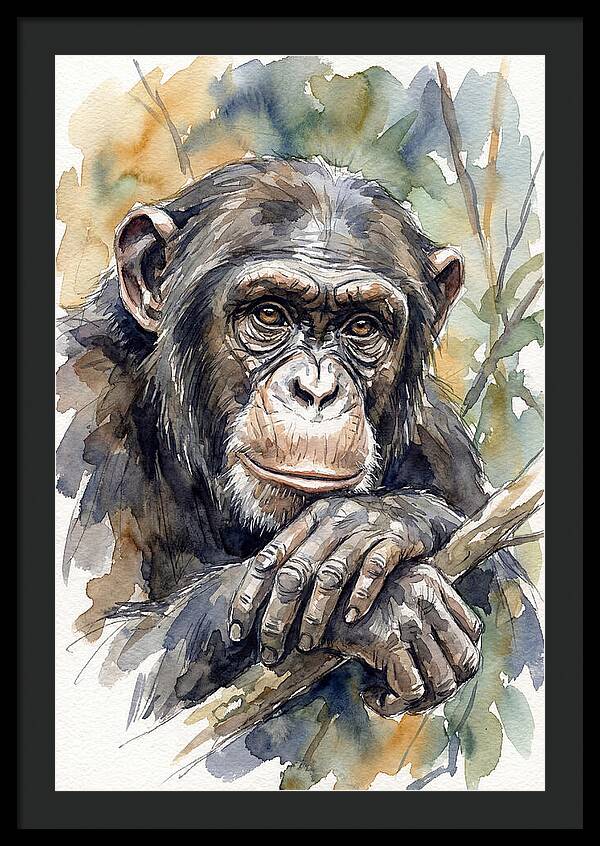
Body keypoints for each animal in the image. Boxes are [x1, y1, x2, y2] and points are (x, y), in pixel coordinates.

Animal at [56, 157, 530, 724]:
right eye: (269, 314)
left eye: (362, 326)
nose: (317, 390)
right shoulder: (79, 405)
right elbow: (100, 658)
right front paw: (395, 605)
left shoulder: (441, 440)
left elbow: (518, 616)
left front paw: (376, 522)